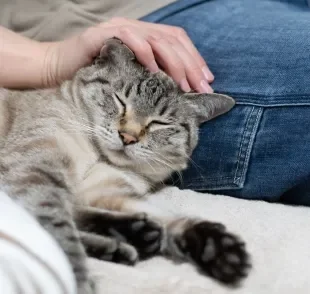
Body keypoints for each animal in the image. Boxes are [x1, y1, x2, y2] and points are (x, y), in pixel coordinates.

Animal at [0, 38, 249, 292]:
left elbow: (166, 215)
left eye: (159, 123)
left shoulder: (108, 190)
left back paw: (135, 237)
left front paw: (216, 248)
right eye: (121, 101)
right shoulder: (34, 173)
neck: (97, 157)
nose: (128, 137)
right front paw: (78, 280)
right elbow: (60, 236)